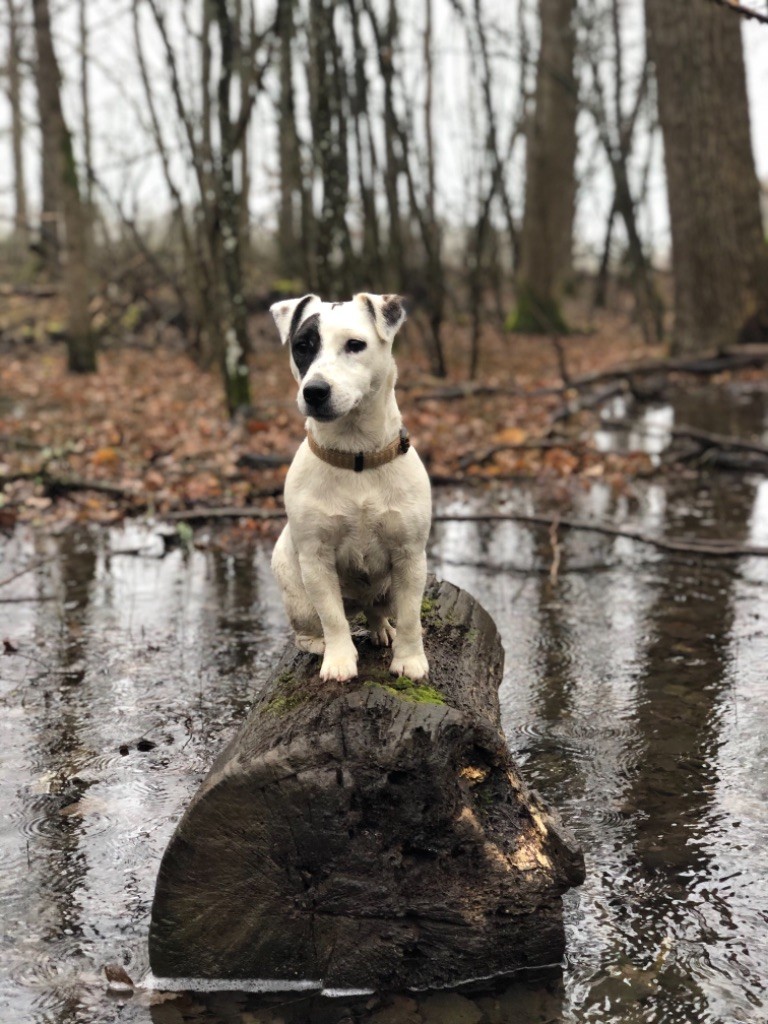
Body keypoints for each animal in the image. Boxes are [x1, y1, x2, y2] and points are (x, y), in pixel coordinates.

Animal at [268, 292, 434, 684]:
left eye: (355, 345)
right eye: (302, 347)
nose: (314, 391)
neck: (355, 454)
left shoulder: (410, 556)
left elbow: (410, 617)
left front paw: (410, 660)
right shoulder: (316, 560)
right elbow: (332, 617)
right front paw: (340, 660)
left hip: (387, 589)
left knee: (379, 610)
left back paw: (381, 627)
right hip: (294, 586)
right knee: (311, 627)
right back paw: (319, 644)